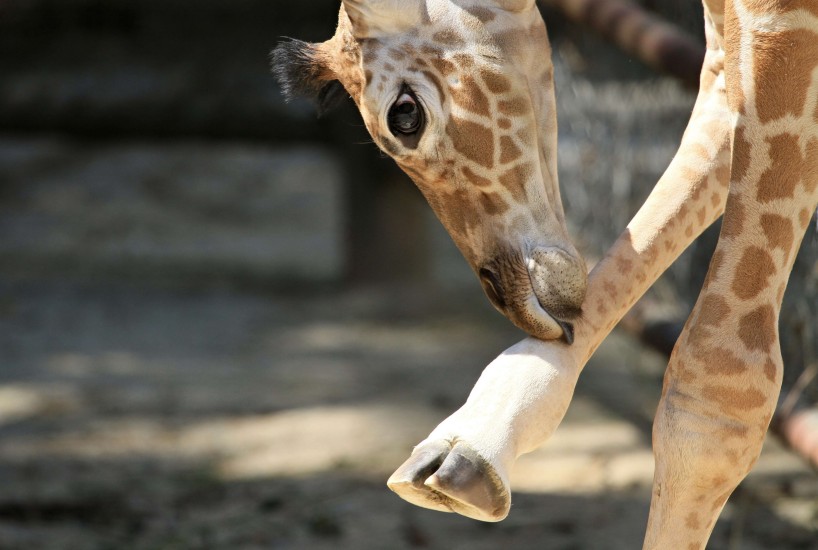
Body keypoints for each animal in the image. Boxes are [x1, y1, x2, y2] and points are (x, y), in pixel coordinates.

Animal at [274, 1, 816, 550]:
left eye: (404, 115)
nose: (514, 300)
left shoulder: (776, 23)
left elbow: (715, 389)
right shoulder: (726, 51)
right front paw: (467, 451)